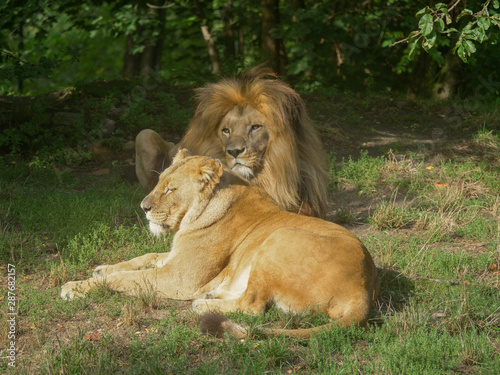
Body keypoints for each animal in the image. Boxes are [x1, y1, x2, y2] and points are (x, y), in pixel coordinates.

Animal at [60, 151, 378, 340]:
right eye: (159, 182)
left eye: (171, 189)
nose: (144, 207)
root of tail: (362, 289)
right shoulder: (174, 259)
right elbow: (142, 257)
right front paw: (101, 268)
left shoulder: (179, 278)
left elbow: (125, 279)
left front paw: (76, 287)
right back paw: (213, 295)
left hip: (279, 237)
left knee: (253, 307)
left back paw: (203, 304)